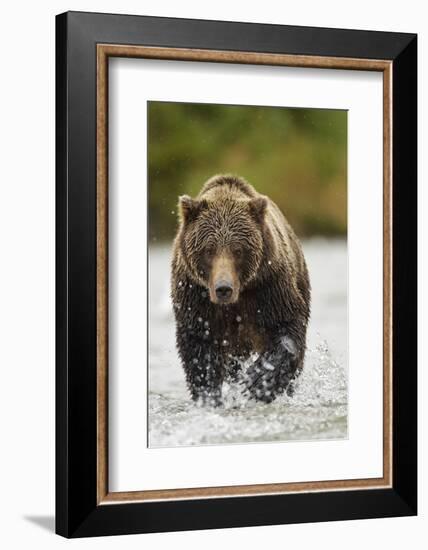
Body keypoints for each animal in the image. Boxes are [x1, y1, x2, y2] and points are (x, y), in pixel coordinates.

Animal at [171, 175, 310, 408]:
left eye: (238, 250)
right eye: (209, 249)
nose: (223, 289)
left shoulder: (268, 286)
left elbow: (286, 327)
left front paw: (259, 380)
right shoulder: (196, 296)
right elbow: (199, 347)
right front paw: (209, 395)